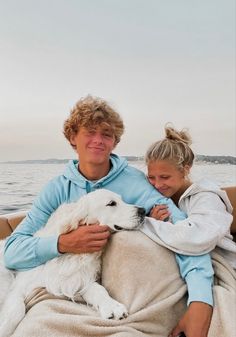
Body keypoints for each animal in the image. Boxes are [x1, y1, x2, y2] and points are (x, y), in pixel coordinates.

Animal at [0, 189, 146, 336]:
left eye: (122, 200)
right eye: (111, 203)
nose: (143, 211)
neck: (73, 256)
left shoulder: (76, 279)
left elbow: (98, 289)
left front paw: (111, 305)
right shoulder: (19, 286)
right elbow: (16, 311)